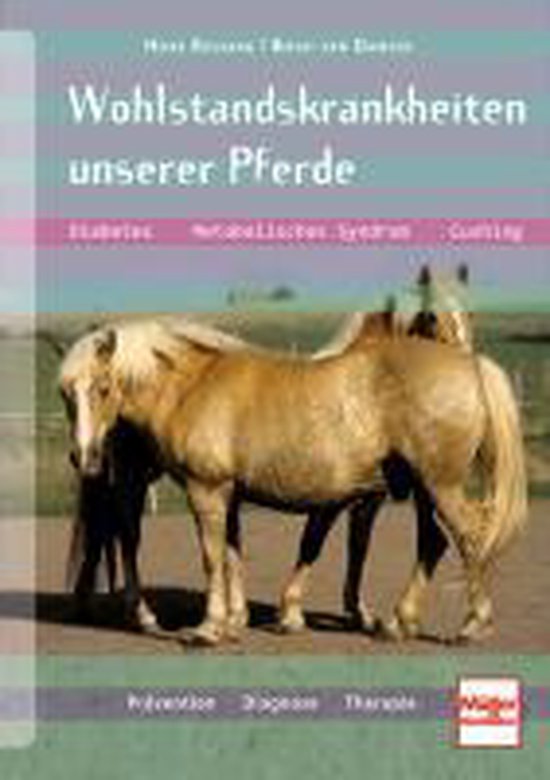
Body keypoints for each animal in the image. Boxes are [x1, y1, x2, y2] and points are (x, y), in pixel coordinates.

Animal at [59, 293, 527, 647]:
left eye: (103, 388)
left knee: (465, 537)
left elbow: (216, 556)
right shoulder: (231, 492)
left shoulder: (208, 490)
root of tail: (470, 369)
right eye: (66, 394)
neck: (193, 384)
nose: (84, 455)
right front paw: (238, 621)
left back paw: (469, 624)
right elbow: (235, 554)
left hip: (438, 486)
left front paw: (211, 628)